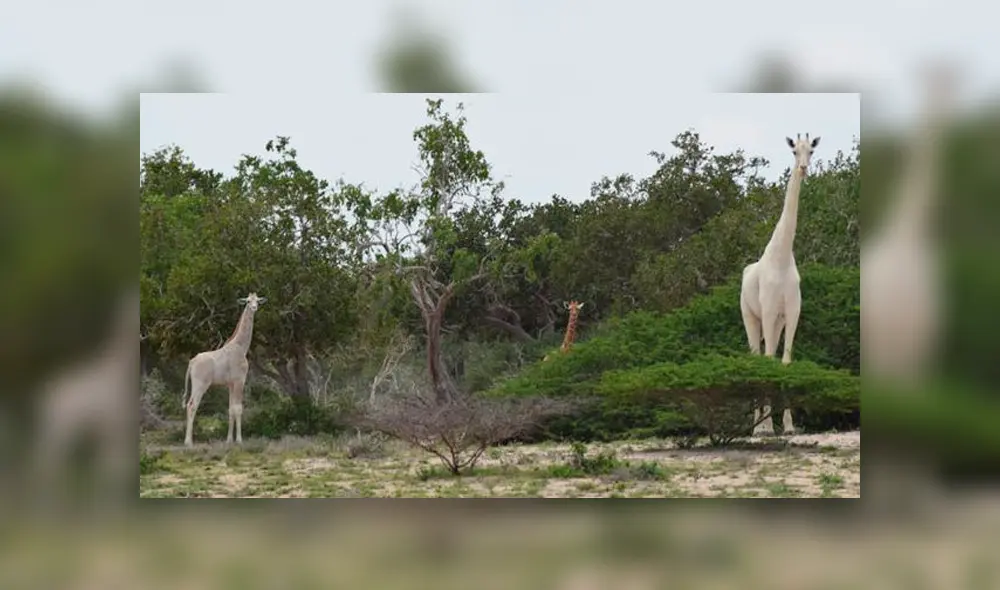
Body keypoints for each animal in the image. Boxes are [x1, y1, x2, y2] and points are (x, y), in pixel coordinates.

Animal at [183, 292, 266, 447]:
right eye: (248, 301)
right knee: (192, 406)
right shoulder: (240, 381)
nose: (254, 308)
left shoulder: (230, 384)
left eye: (257, 300)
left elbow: (231, 409)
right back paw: (188, 442)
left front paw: (229, 440)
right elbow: (238, 409)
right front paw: (239, 440)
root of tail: (191, 362)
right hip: (200, 385)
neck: (241, 347)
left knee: (189, 405)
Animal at [740, 133, 820, 435]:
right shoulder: (769, 310)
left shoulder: (792, 312)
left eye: (811, 151)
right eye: (794, 151)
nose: (804, 168)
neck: (782, 257)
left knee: (768, 354)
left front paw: (788, 424)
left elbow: (784, 361)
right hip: (751, 316)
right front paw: (764, 427)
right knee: (756, 355)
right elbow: (767, 360)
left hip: (774, 321)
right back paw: (756, 426)